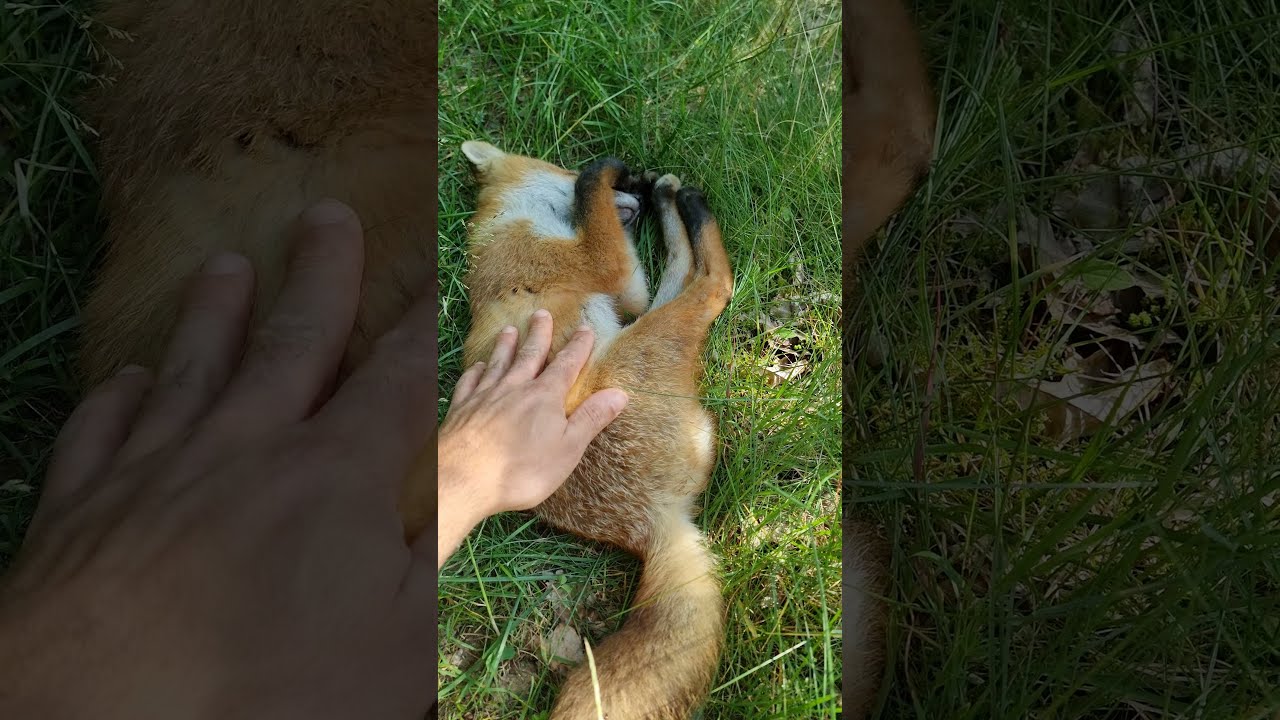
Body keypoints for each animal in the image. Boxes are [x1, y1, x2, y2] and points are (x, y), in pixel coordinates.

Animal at [455, 140, 733, 719]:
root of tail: (656, 521)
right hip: (644, 341)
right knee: (713, 285)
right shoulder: (606, 270)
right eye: (558, 164)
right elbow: (593, 204)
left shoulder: (624, 287)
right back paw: (691, 206)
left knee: (684, 278)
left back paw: (675, 199)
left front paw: (650, 187)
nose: (638, 194)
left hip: (642, 327)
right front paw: (605, 171)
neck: (506, 224)